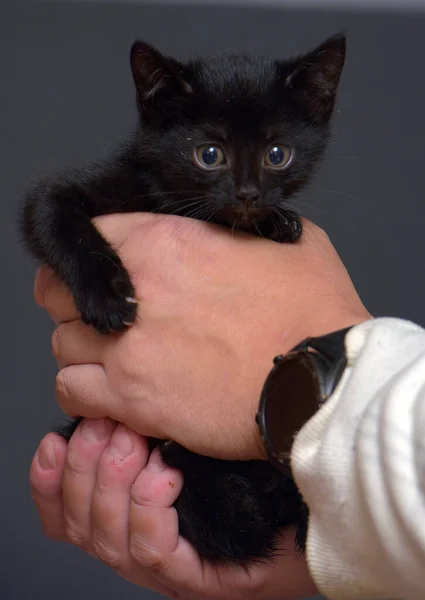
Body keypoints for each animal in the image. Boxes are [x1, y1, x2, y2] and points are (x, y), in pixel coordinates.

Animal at [21, 34, 344, 568]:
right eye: (209, 154)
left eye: (277, 154)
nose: (248, 194)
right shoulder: (65, 192)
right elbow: (55, 217)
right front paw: (109, 298)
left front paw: (280, 222)